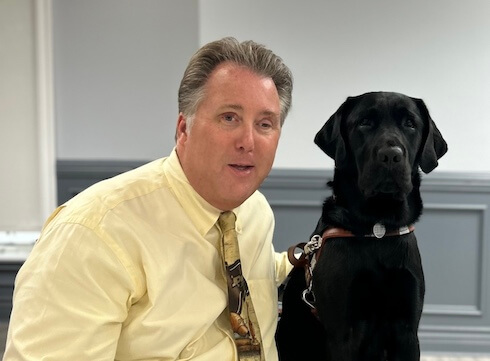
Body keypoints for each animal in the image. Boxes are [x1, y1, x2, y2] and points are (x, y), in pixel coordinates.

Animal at [276, 92, 448, 360]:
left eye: (410, 123)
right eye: (365, 122)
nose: (391, 155)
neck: (378, 229)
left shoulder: (407, 330)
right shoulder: (344, 332)